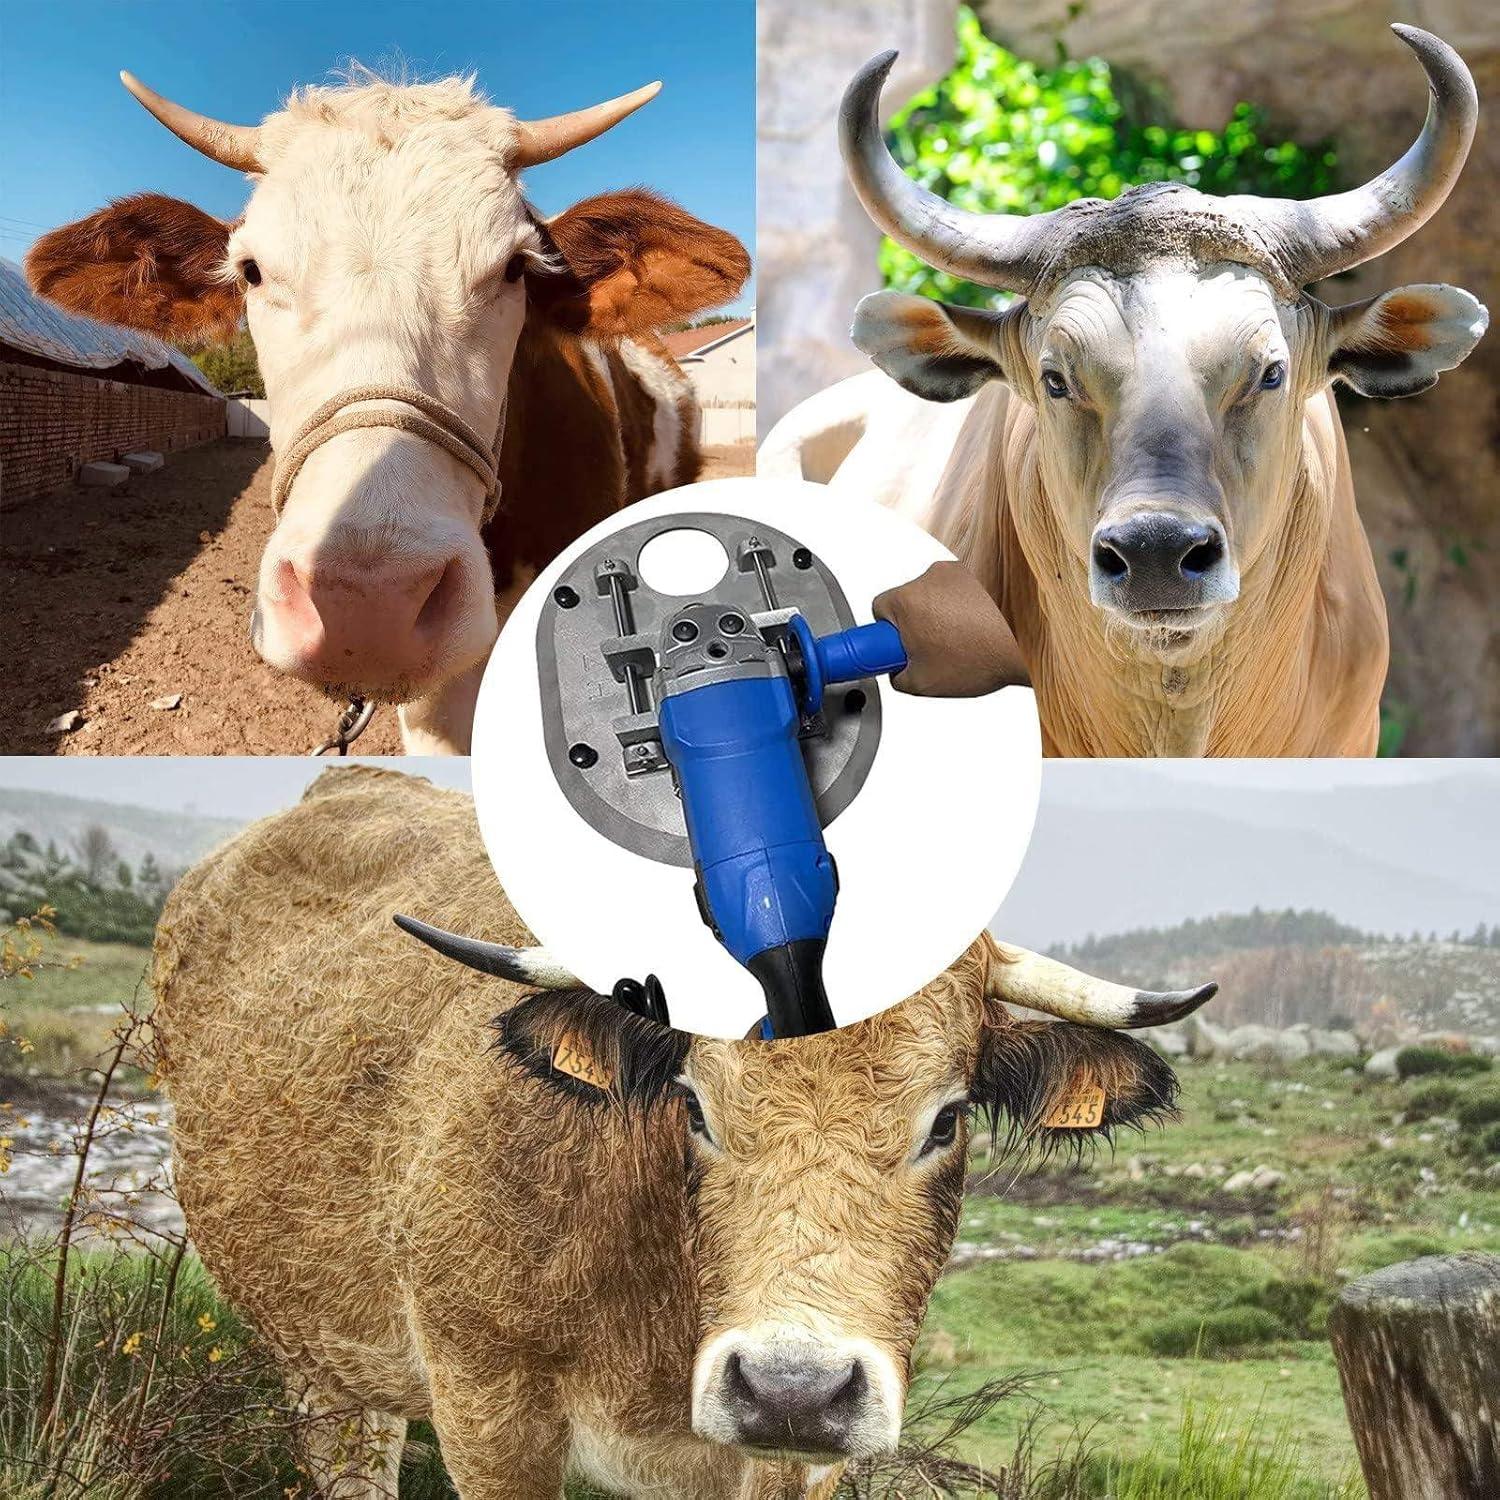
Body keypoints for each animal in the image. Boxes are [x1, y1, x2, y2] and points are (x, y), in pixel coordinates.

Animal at [151, 765, 1215, 1498]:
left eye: (948, 1118)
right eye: (694, 1103)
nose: (792, 1389)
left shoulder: (795, 1465)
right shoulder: (487, 1412)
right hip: (316, 1354)